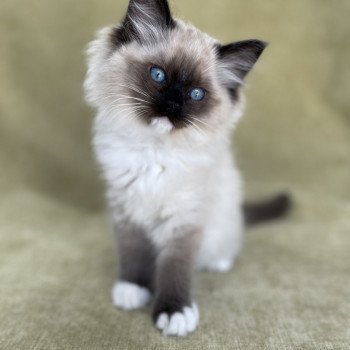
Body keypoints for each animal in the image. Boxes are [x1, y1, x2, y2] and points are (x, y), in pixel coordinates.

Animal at [85, 0, 290, 340]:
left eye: (196, 94)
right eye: (158, 75)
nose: (172, 105)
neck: (154, 155)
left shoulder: (185, 219)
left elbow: (175, 268)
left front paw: (174, 312)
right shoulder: (127, 209)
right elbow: (133, 253)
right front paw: (133, 288)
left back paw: (218, 262)